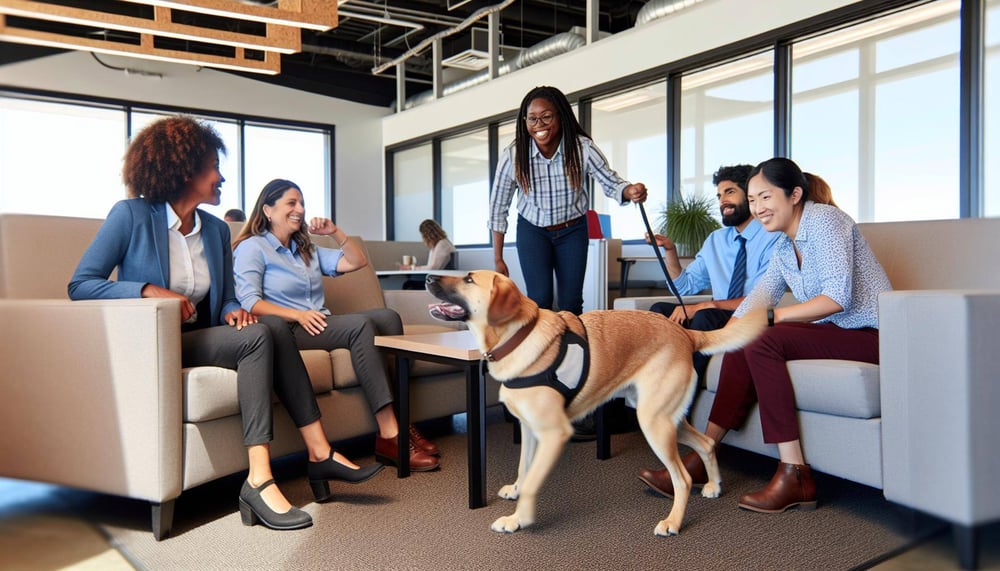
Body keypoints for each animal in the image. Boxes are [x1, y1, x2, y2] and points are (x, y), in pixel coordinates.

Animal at [428, 270, 764, 540]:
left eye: (468, 279)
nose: (428, 278)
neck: (517, 337)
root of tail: (684, 331)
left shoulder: (554, 434)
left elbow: (534, 480)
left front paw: (518, 519)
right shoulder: (529, 429)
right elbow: (524, 467)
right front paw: (515, 490)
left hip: (654, 423)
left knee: (682, 479)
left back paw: (673, 522)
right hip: (664, 418)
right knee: (706, 443)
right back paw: (714, 485)